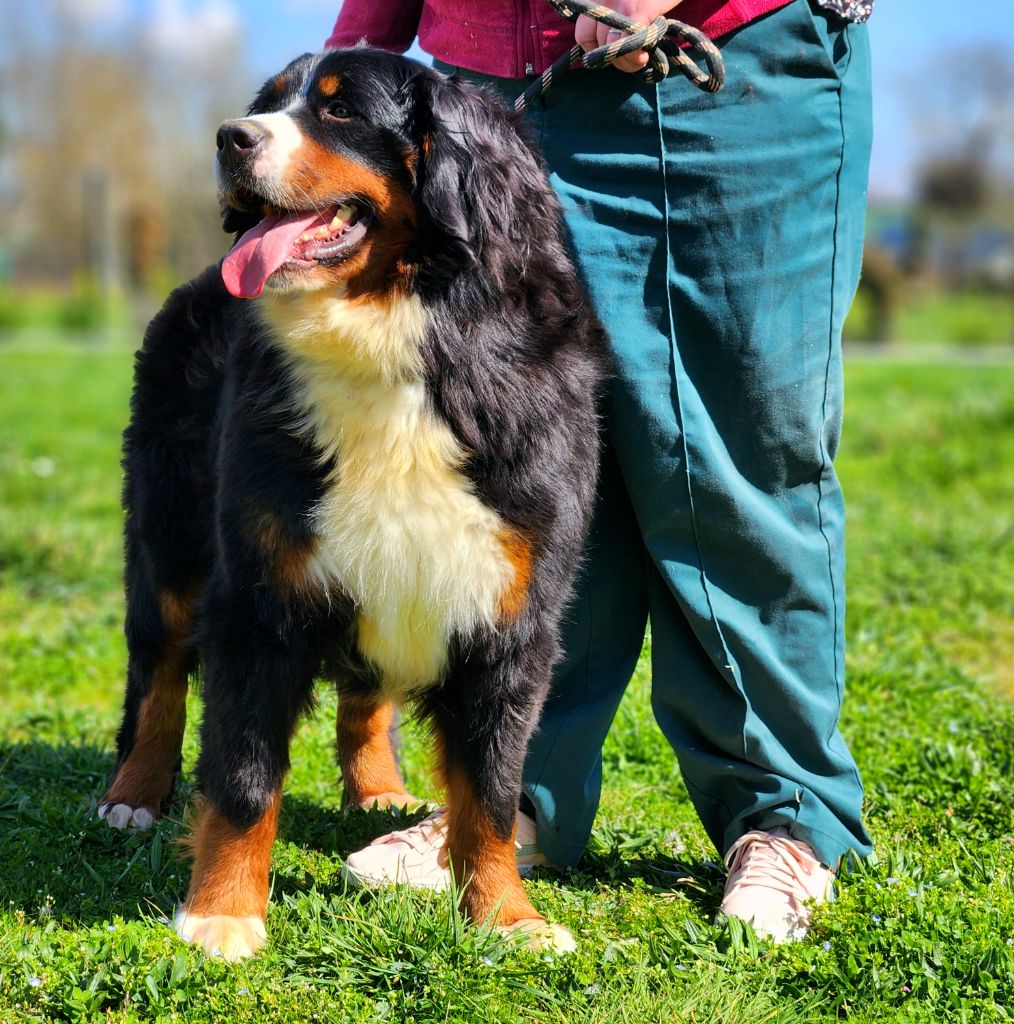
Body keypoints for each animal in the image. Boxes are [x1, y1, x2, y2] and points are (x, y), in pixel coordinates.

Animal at [97, 48, 602, 958]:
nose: (229, 137)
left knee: (366, 695)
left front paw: (508, 919)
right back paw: (134, 793)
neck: (390, 330)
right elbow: (243, 776)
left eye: (338, 111)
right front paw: (222, 913)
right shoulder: (258, 594)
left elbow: (493, 790)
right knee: (158, 670)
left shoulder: (513, 616)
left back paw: (379, 791)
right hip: (170, 539)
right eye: (268, 104)